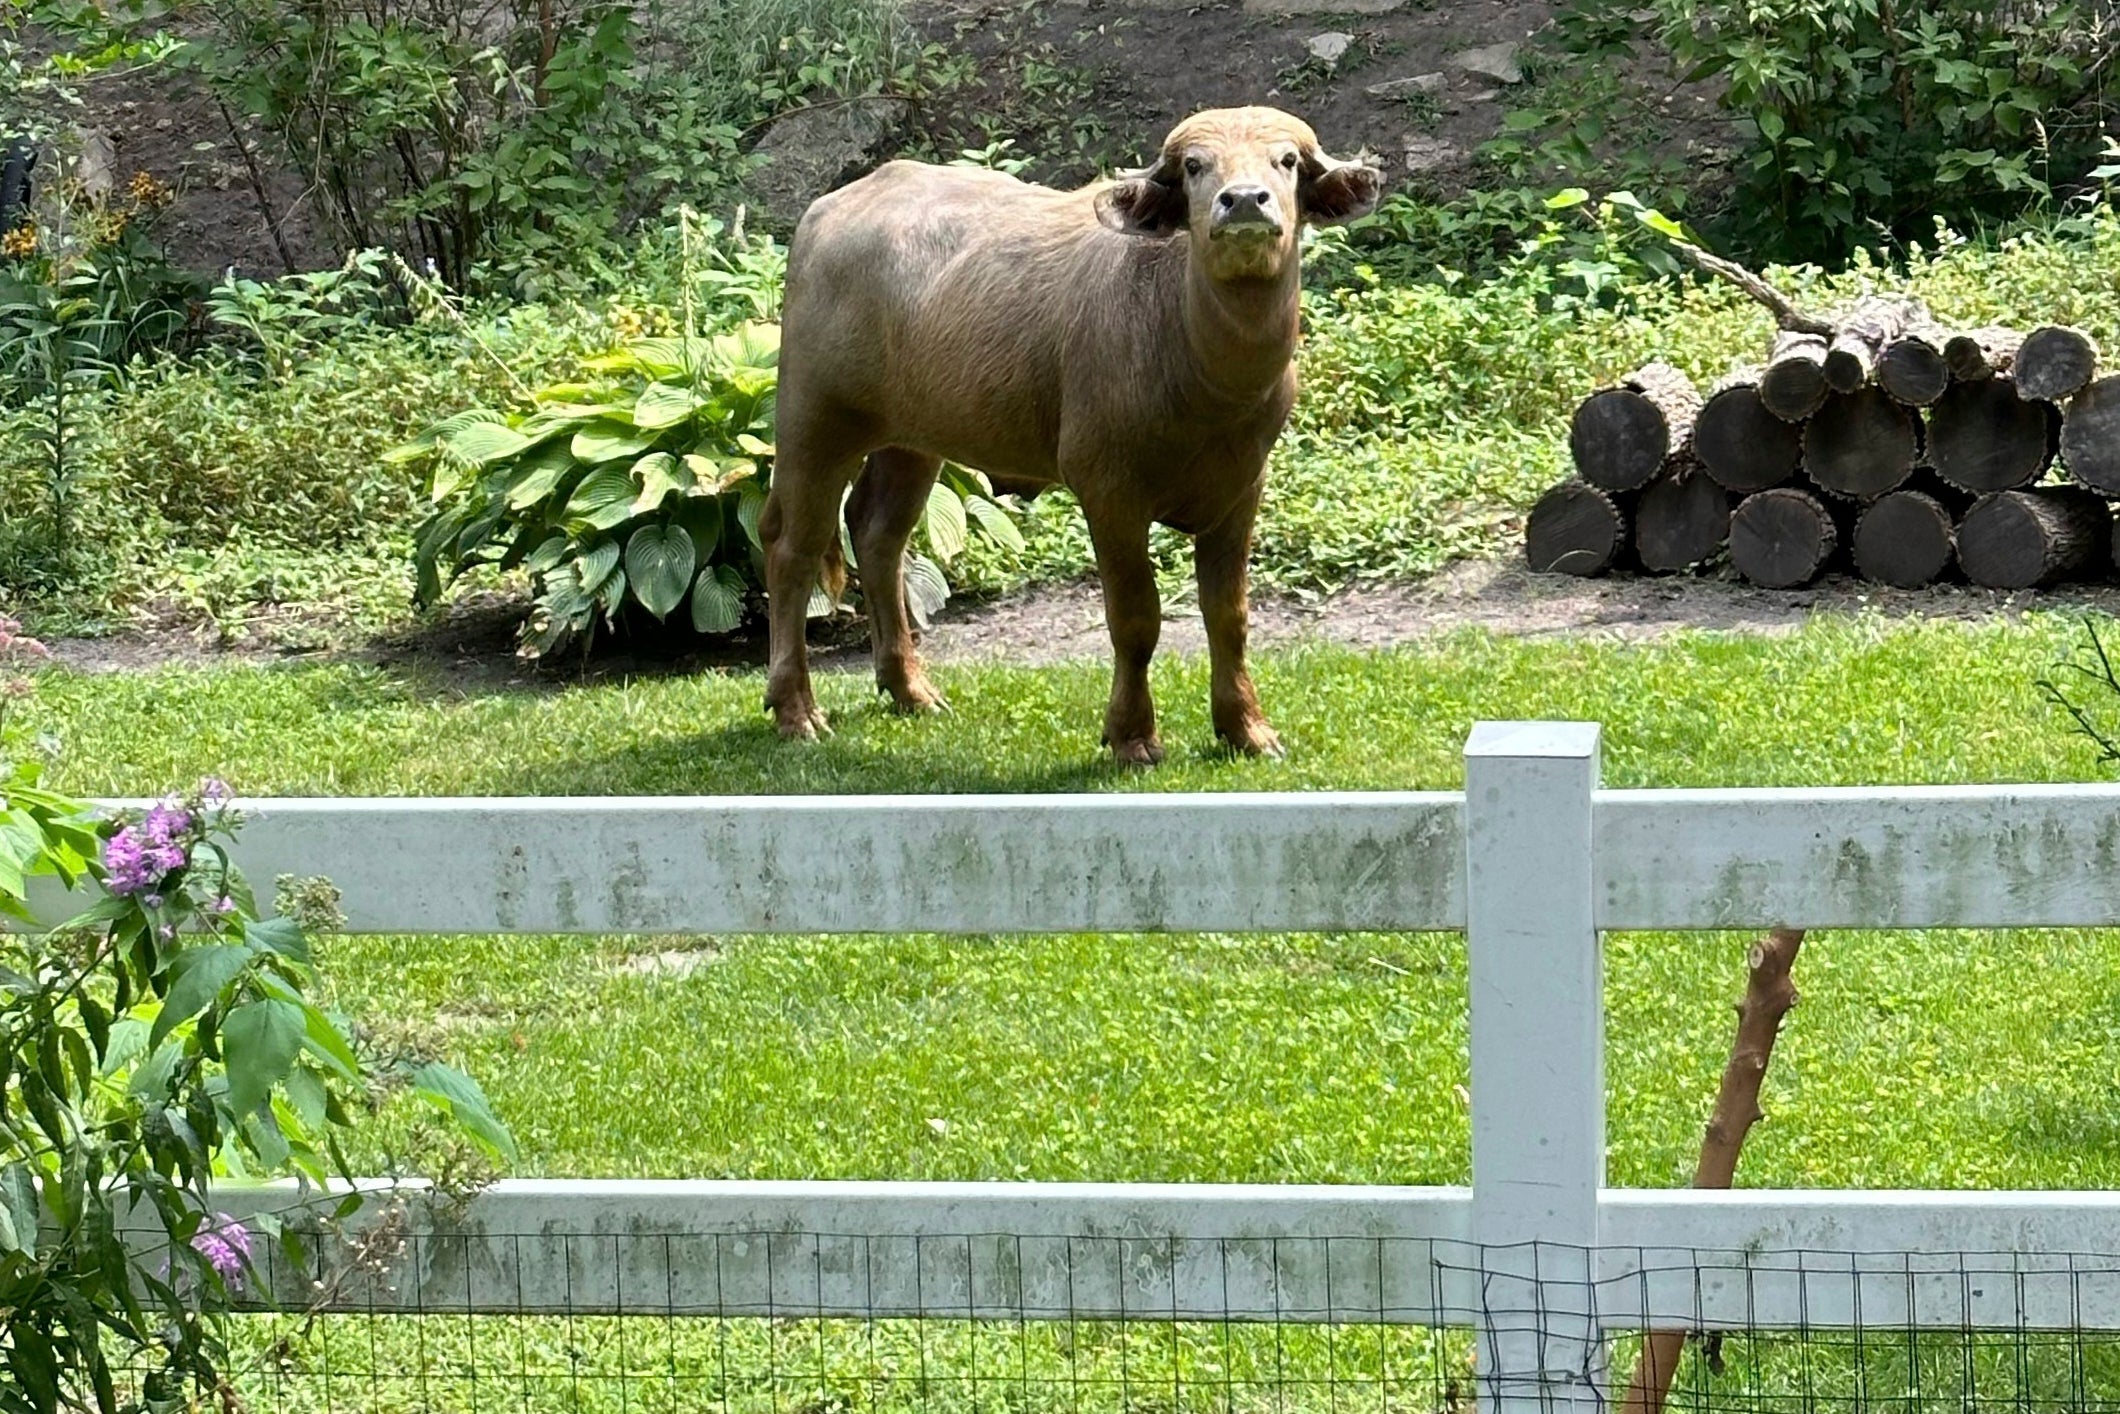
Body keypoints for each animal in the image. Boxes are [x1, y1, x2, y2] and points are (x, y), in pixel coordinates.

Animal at [754, 106, 1382, 763]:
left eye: (1286, 161)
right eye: (1194, 166)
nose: (1242, 201)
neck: (1201, 369)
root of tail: (825, 213)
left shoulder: (1242, 489)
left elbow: (1228, 616)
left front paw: (1246, 727)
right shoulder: (1109, 489)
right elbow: (1135, 618)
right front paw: (1132, 735)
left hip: (912, 438)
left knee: (878, 534)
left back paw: (910, 689)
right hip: (814, 418)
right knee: (792, 546)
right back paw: (796, 709)